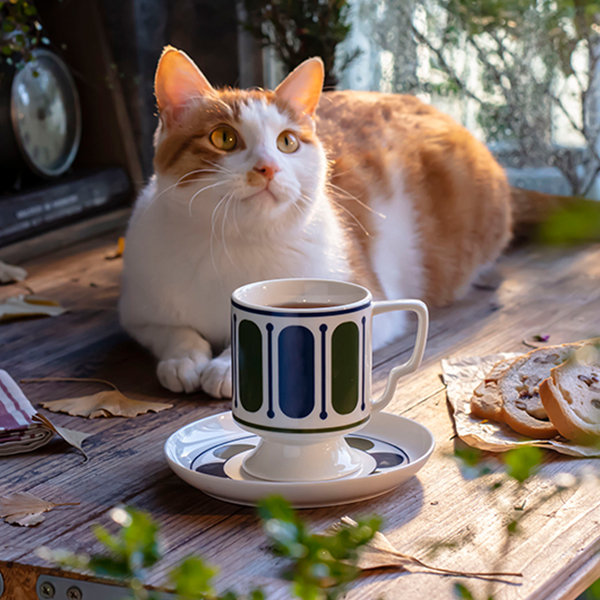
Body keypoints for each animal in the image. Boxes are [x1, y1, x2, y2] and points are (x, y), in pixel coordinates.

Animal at [119, 45, 512, 398]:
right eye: (224, 138)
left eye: (287, 142)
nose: (268, 167)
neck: (235, 242)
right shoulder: (138, 311)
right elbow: (172, 331)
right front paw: (183, 357)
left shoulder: (377, 306)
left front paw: (231, 365)